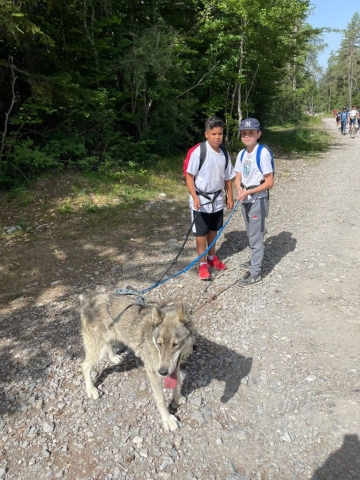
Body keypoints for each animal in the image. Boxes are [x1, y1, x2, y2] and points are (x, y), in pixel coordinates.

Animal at [80, 290, 195, 434]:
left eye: (175, 344)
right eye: (159, 344)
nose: (163, 372)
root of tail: (89, 299)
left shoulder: (175, 366)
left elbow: (178, 384)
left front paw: (177, 398)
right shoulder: (153, 373)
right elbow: (161, 400)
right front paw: (167, 419)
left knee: (108, 346)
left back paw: (114, 358)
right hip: (97, 351)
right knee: (84, 365)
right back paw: (91, 389)